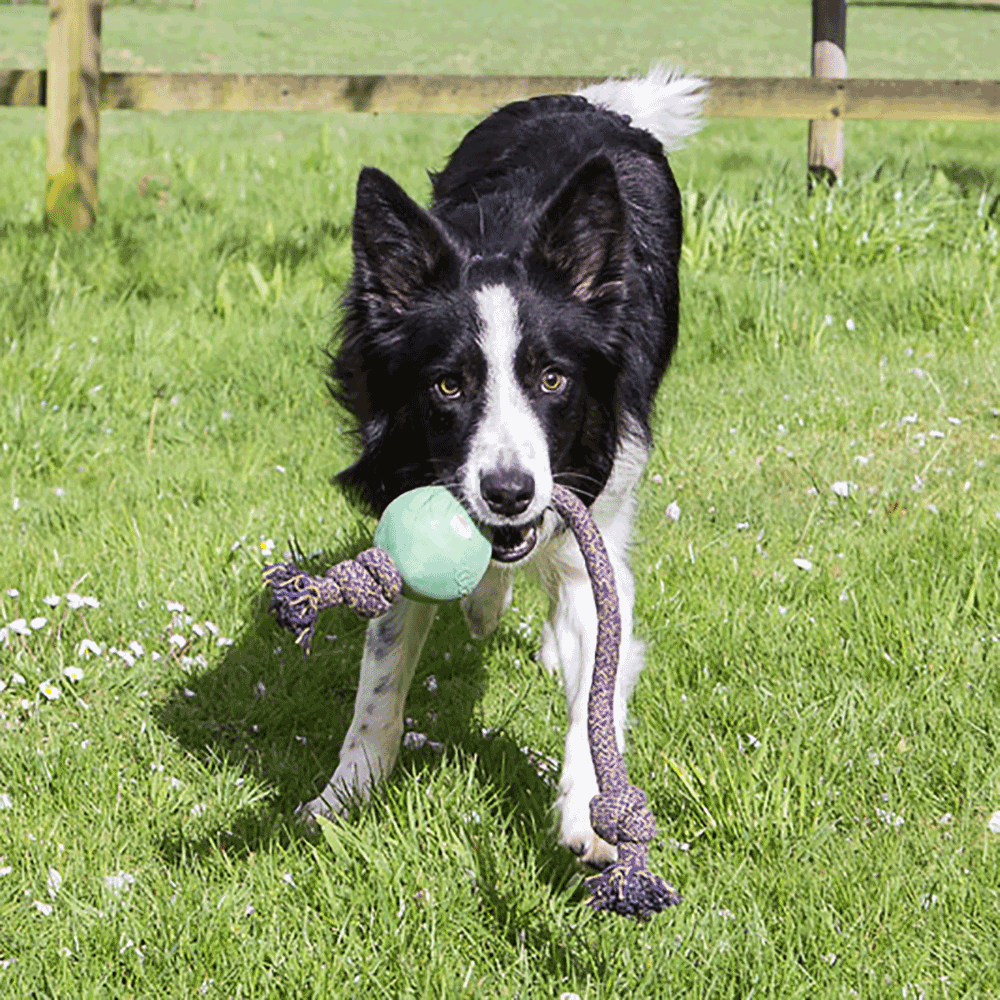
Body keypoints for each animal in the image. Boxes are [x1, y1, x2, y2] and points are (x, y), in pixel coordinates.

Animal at [300, 68, 708, 868]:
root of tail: (593, 102)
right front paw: (344, 795)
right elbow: (381, 676)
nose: (510, 493)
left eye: (553, 379)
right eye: (447, 386)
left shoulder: (590, 527)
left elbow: (596, 682)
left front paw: (594, 817)